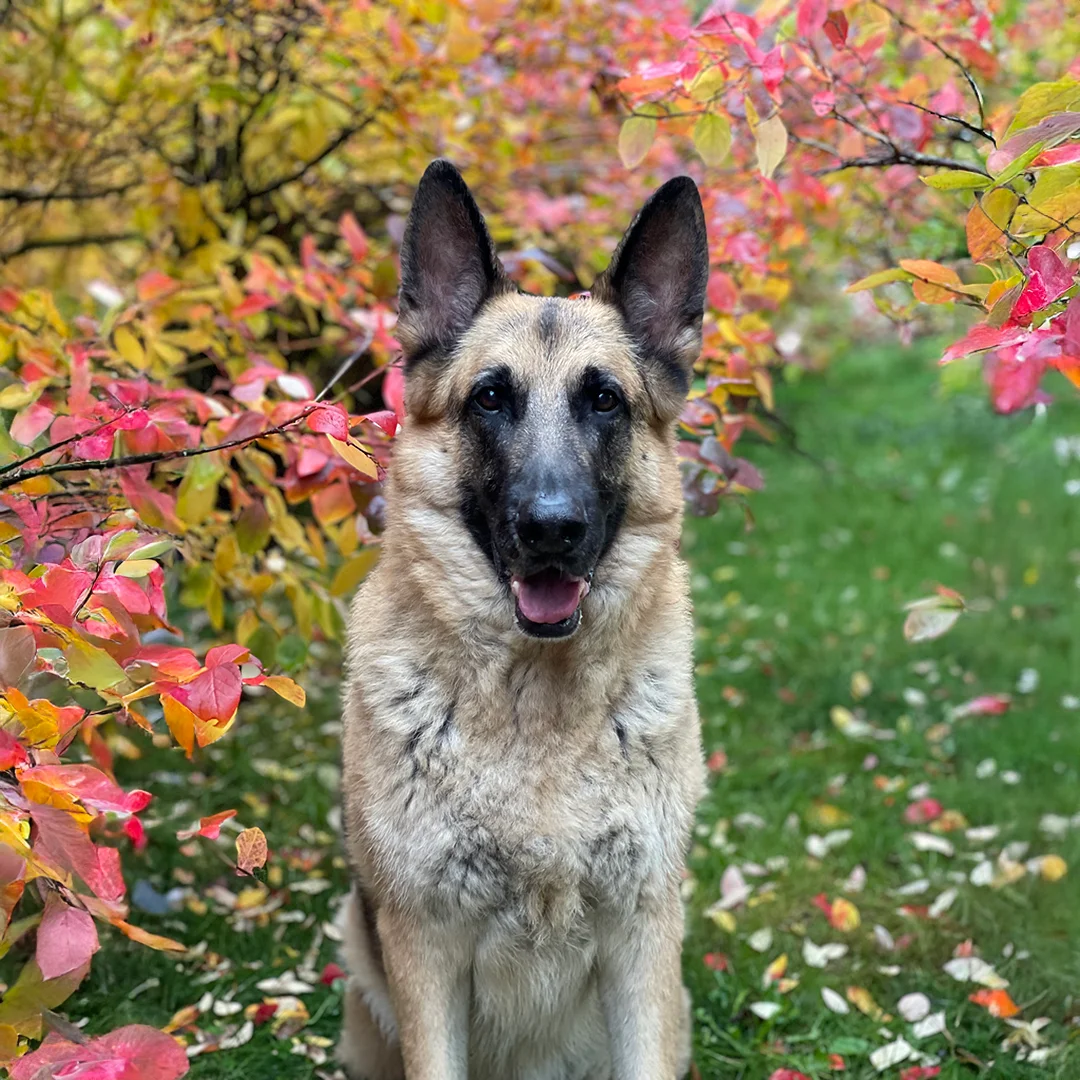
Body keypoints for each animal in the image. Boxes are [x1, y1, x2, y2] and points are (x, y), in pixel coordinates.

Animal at [338, 159, 708, 1080]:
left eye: (605, 401)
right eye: (491, 399)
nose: (550, 530)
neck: (535, 709)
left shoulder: (642, 940)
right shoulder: (425, 949)